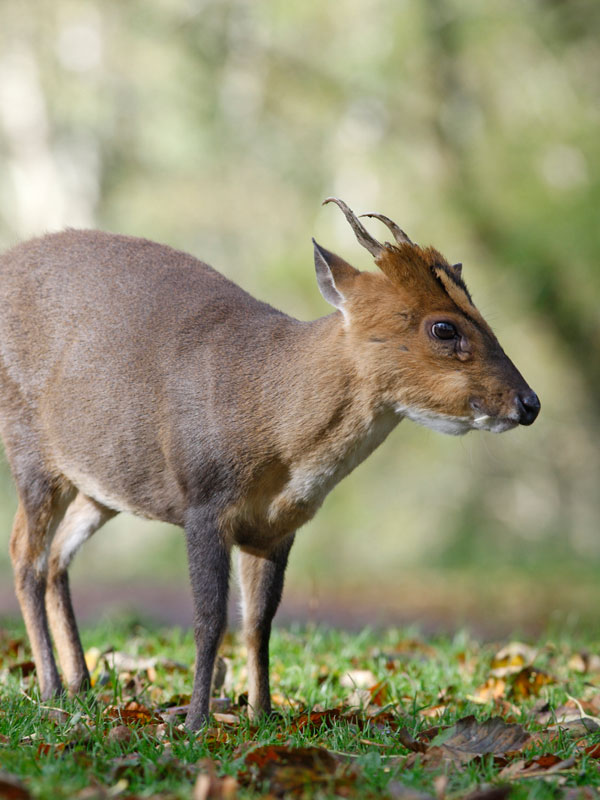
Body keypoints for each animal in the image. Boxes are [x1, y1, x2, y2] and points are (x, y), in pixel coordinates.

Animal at [0, 197, 540, 728]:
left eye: (479, 313)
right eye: (444, 327)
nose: (529, 403)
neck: (272, 419)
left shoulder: (277, 527)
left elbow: (259, 621)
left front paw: (261, 715)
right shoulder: (204, 501)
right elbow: (209, 617)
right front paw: (195, 723)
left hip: (99, 486)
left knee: (56, 559)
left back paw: (81, 686)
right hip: (29, 450)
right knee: (25, 555)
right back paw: (51, 688)